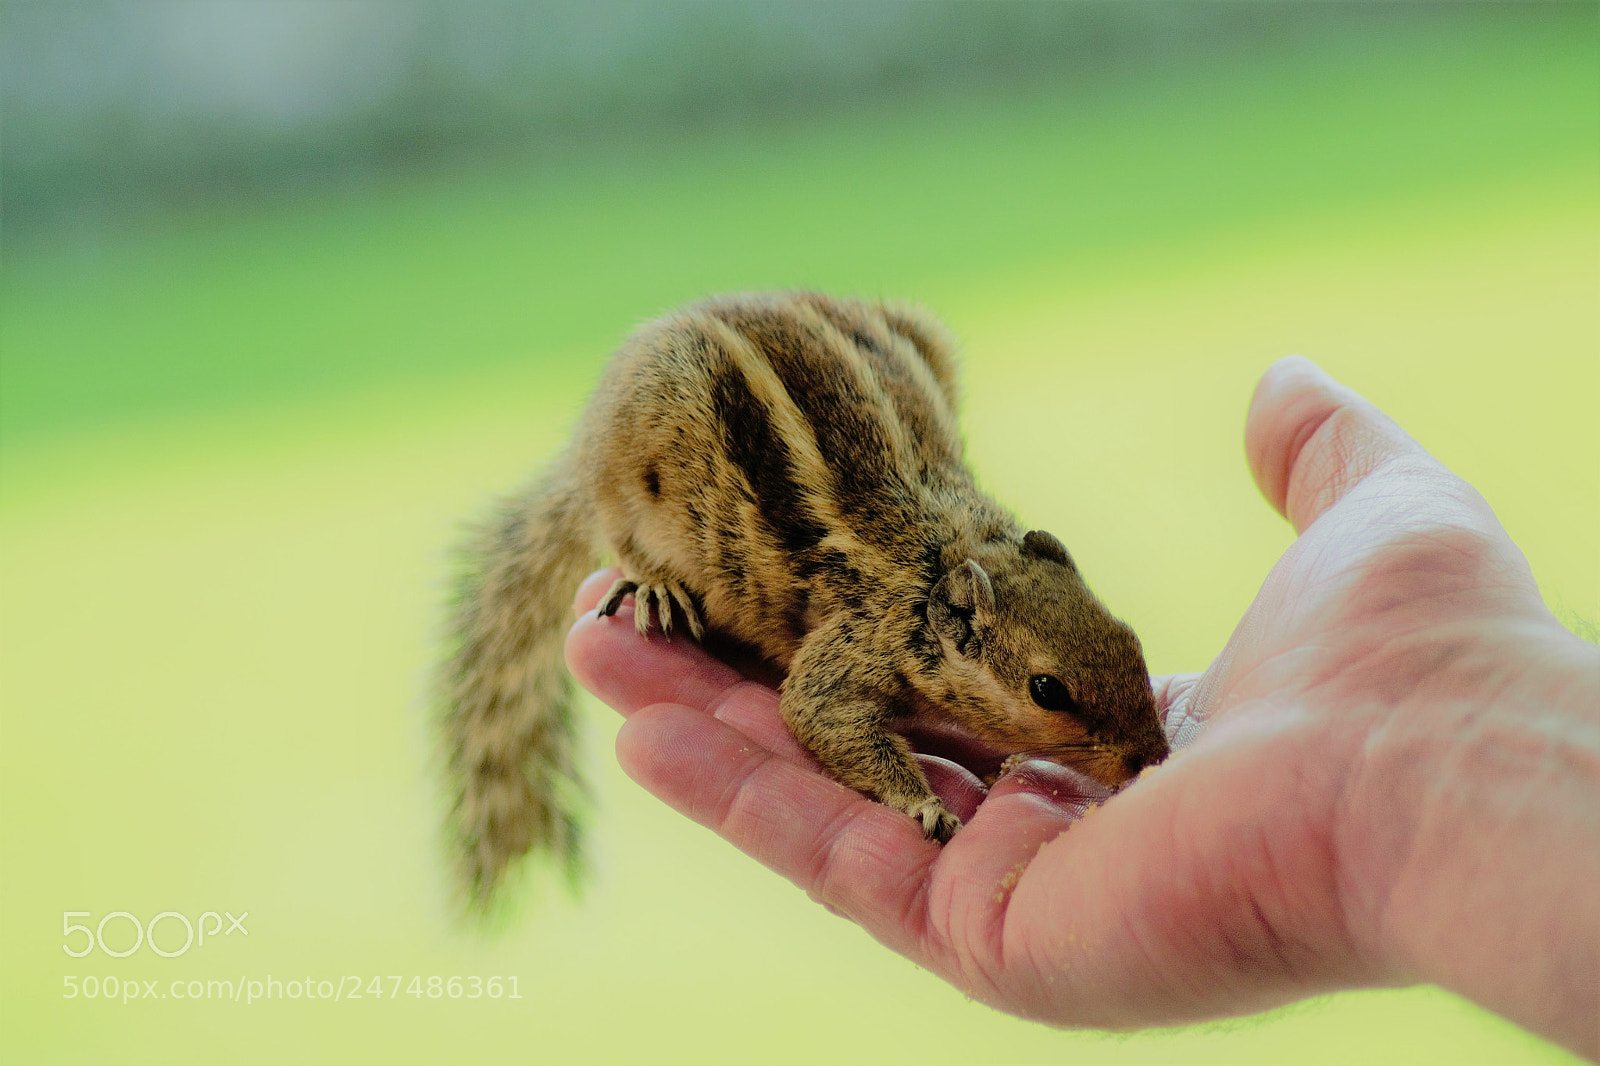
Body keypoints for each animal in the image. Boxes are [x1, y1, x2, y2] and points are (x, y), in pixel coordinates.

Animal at [440, 291, 1169, 903]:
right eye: (1048, 690)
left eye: (1129, 639)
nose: (1154, 758)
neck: (943, 558)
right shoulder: (857, 640)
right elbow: (816, 711)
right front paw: (925, 804)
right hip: (630, 456)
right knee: (616, 526)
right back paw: (655, 583)